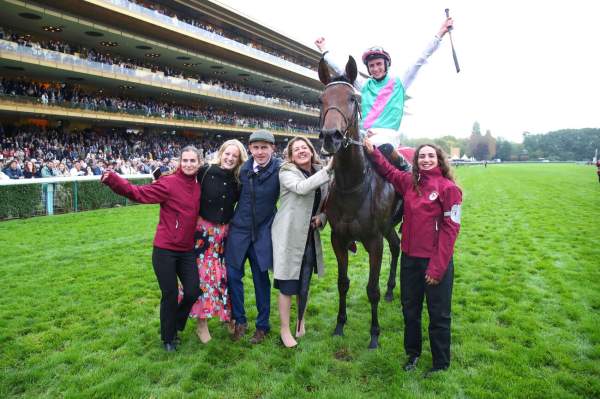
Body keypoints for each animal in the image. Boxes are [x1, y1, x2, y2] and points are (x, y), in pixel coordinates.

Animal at [318, 56, 404, 350]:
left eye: (353, 98)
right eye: (321, 98)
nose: (330, 136)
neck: (352, 184)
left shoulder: (373, 240)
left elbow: (371, 289)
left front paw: (374, 334)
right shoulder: (338, 238)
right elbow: (342, 282)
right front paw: (339, 325)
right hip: (388, 227)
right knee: (397, 245)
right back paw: (391, 290)